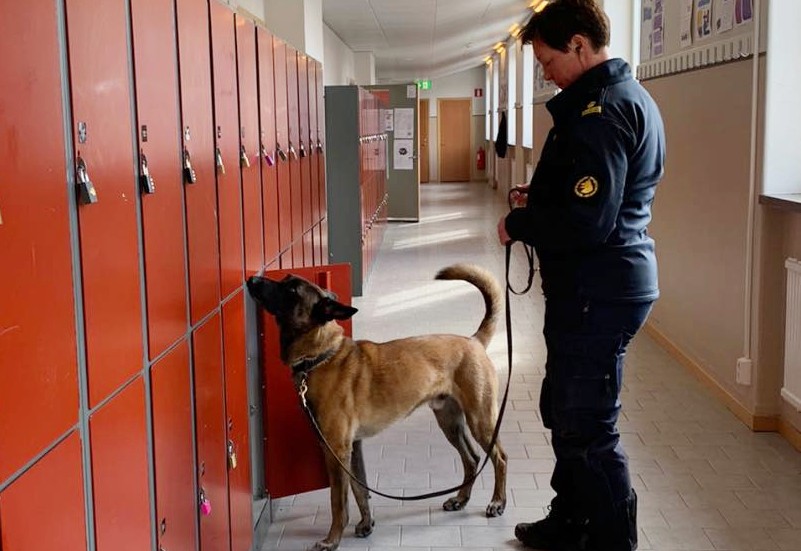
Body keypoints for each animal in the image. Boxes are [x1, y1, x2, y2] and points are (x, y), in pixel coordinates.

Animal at [247, 266, 506, 548]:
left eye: (292, 290)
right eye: (285, 280)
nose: (252, 279)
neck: (321, 356)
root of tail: (473, 341)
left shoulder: (336, 451)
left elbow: (338, 501)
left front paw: (332, 539)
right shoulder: (352, 448)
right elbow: (360, 489)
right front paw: (366, 524)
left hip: (480, 420)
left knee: (499, 457)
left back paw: (497, 502)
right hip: (450, 423)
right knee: (472, 459)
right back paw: (461, 498)